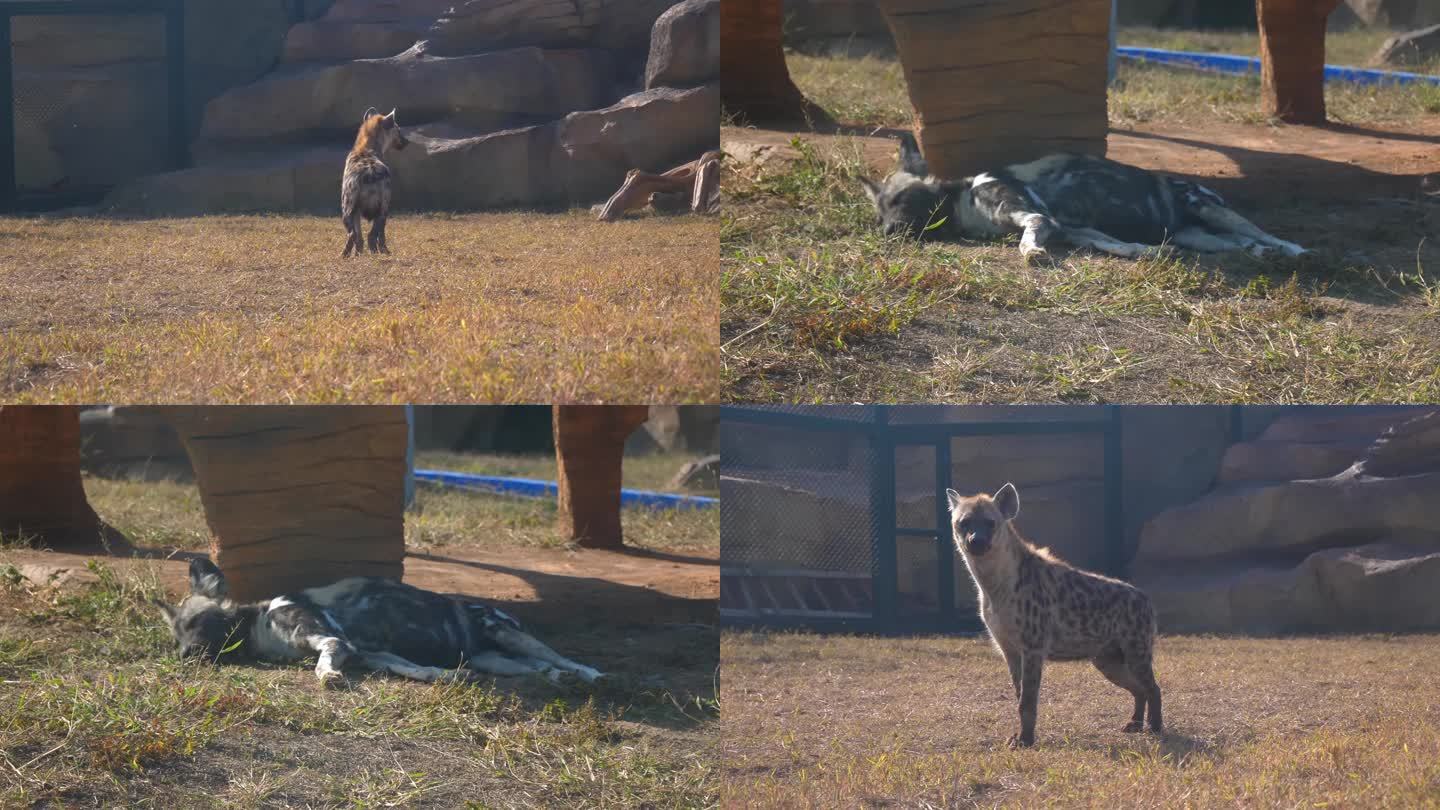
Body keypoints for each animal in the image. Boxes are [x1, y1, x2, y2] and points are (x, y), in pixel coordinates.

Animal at [154, 559, 604, 683]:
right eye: (176, 636)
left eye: (198, 625)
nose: (184, 656)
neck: (261, 623)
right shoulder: (375, 655)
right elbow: (420, 671)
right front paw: (447, 678)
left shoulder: (335, 642)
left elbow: (323, 664)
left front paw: (327, 677)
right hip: (493, 659)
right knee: (536, 667)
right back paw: (553, 677)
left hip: (507, 634)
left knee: (560, 658)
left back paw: (589, 673)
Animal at [345, 104, 414, 255]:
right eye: (399, 130)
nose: (407, 141)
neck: (367, 148)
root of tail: (369, 174)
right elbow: (380, 234)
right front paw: (383, 251)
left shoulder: (355, 208)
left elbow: (359, 235)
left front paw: (358, 254)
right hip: (382, 207)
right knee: (371, 234)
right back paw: (379, 253)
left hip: (347, 206)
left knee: (353, 234)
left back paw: (347, 255)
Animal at [858, 131, 1313, 259]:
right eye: (878, 215)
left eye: (901, 202)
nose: (887, 233)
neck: (966, 198)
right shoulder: (1077, 231)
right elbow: (1121, 246)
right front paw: (1150, 254)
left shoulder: (1038, 218)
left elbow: (1027, 239)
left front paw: (1031, 252)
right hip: (1197, 236)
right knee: (1236, 243)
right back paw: (1258, 253)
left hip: (1210, 208)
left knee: (1261, 233)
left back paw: (1291, 249)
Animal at [950, 481, 1163, 749]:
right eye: (964, 523)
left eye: (990, 522)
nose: (976, 541)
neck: (994, 587)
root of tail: (1145, 598)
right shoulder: (1009, 649)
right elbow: (1019, 692)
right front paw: (1017, 737)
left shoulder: (1033, 646)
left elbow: (1028, 699)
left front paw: (1025, 740)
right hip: (1107, 659)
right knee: (1137, 688)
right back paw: (1133, 725)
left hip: (1135, 648)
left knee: (1152, 687)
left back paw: (1155, 728)